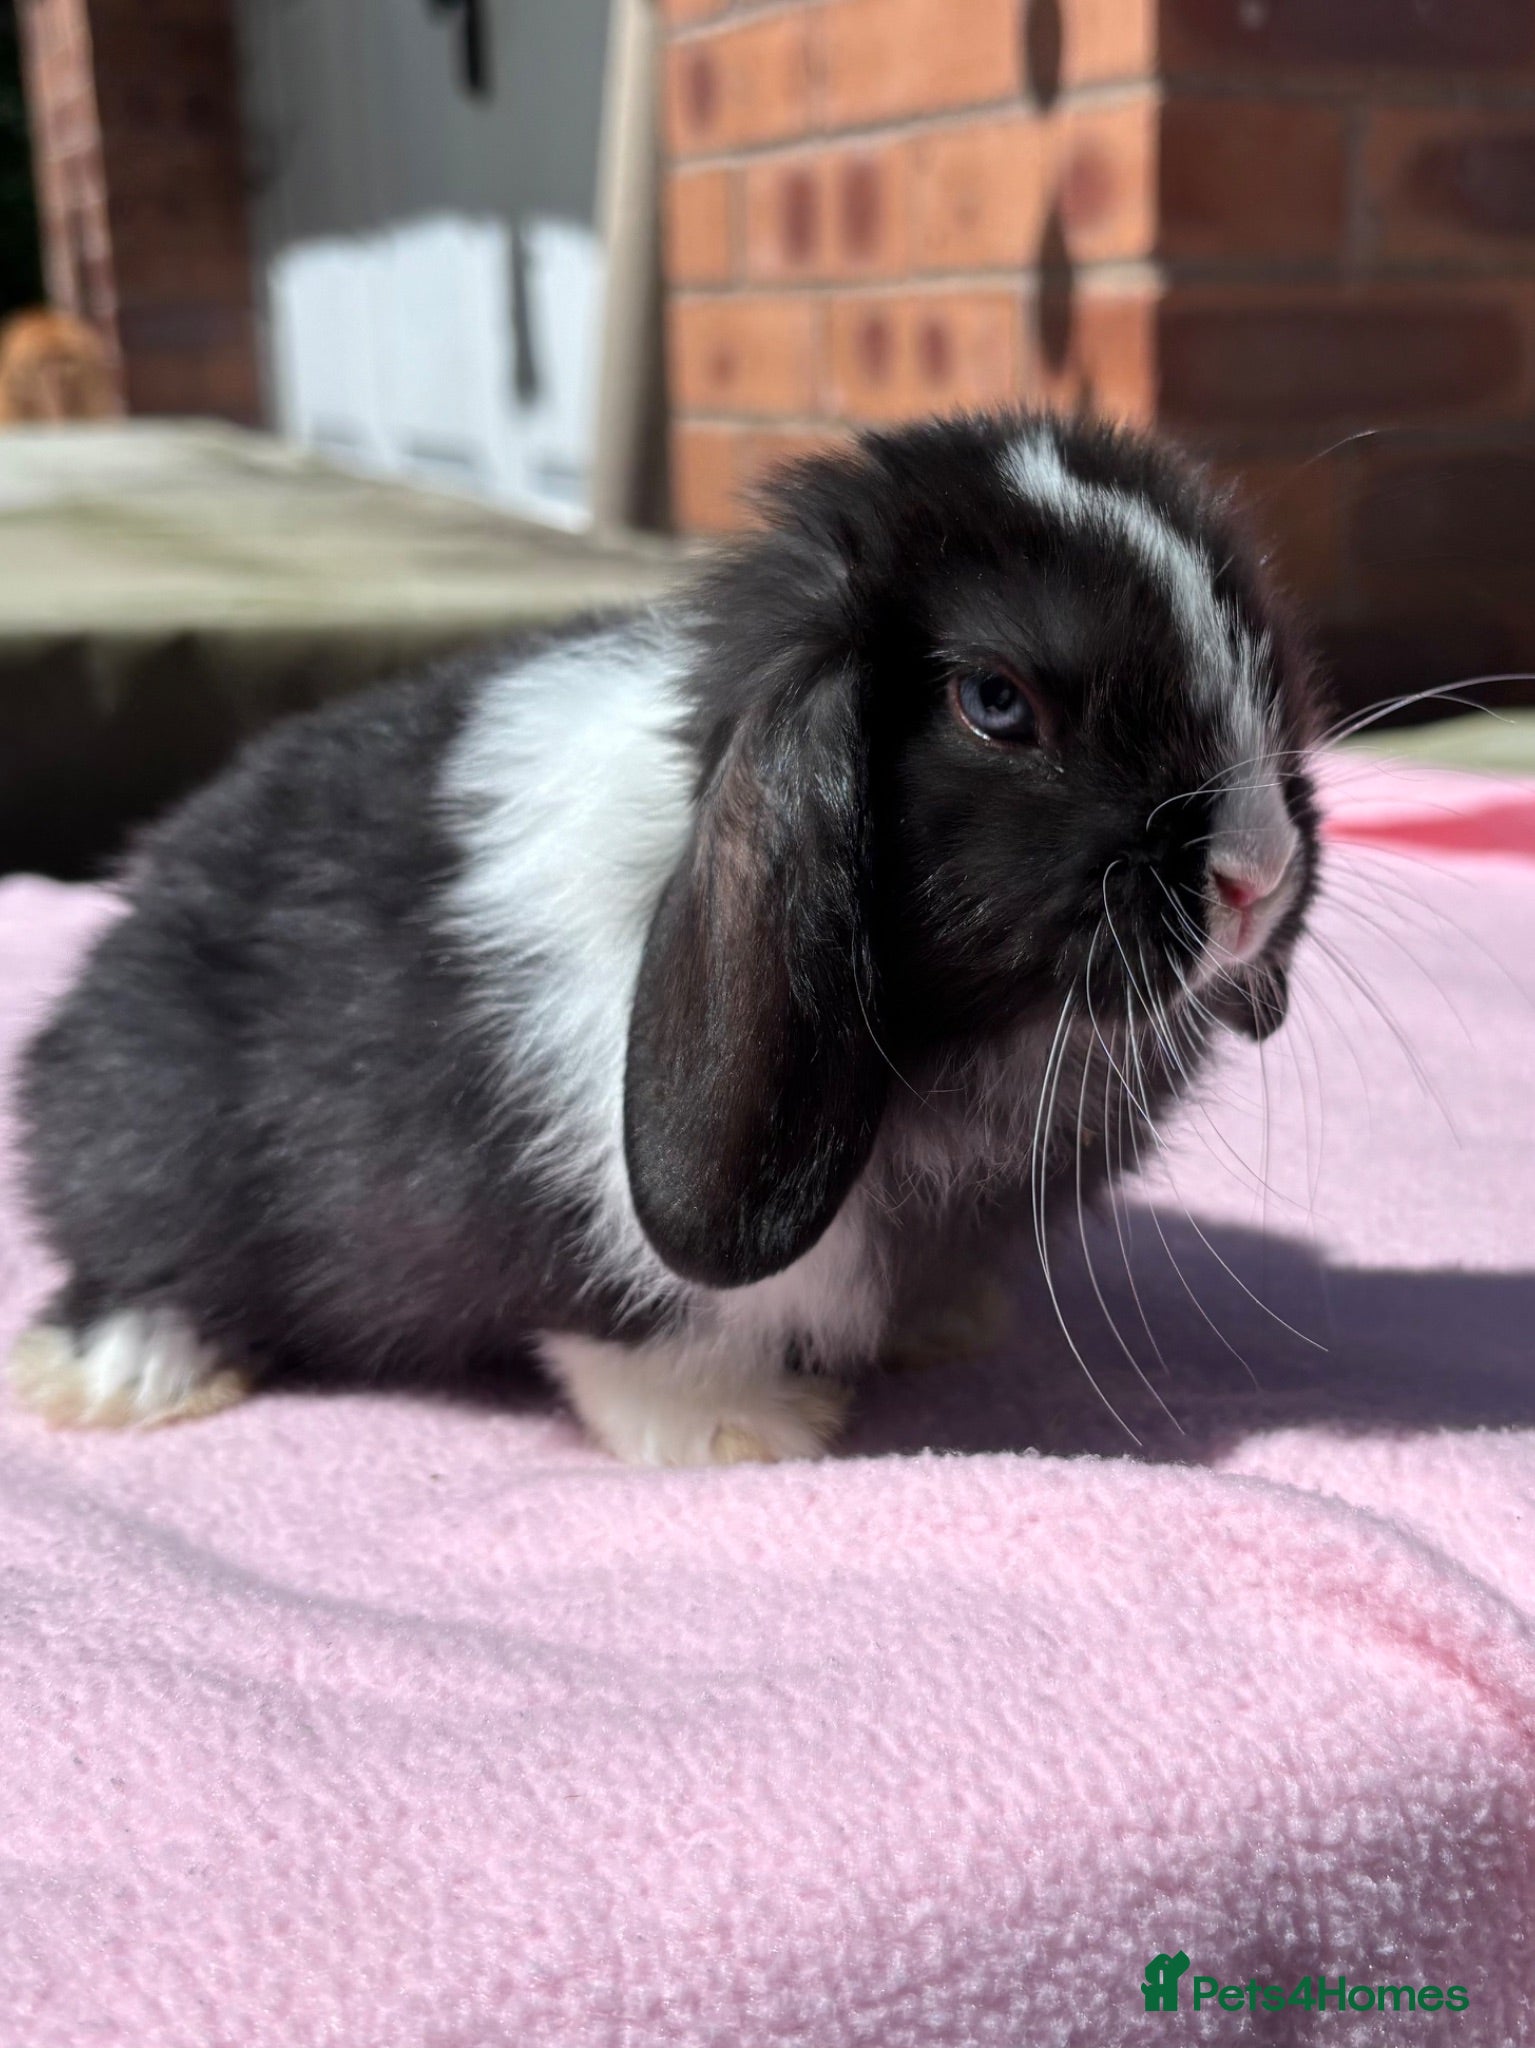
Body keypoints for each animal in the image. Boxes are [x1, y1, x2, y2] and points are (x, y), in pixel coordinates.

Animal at [10, 411, 1322, 1465]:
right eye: (996, 703)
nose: (1253, 874)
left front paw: (940, 1327)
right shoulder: (597, 1222)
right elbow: (646, 1336)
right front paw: (746, 1434)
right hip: (153, 1142)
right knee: (135, 1259)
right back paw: (121, 1376)